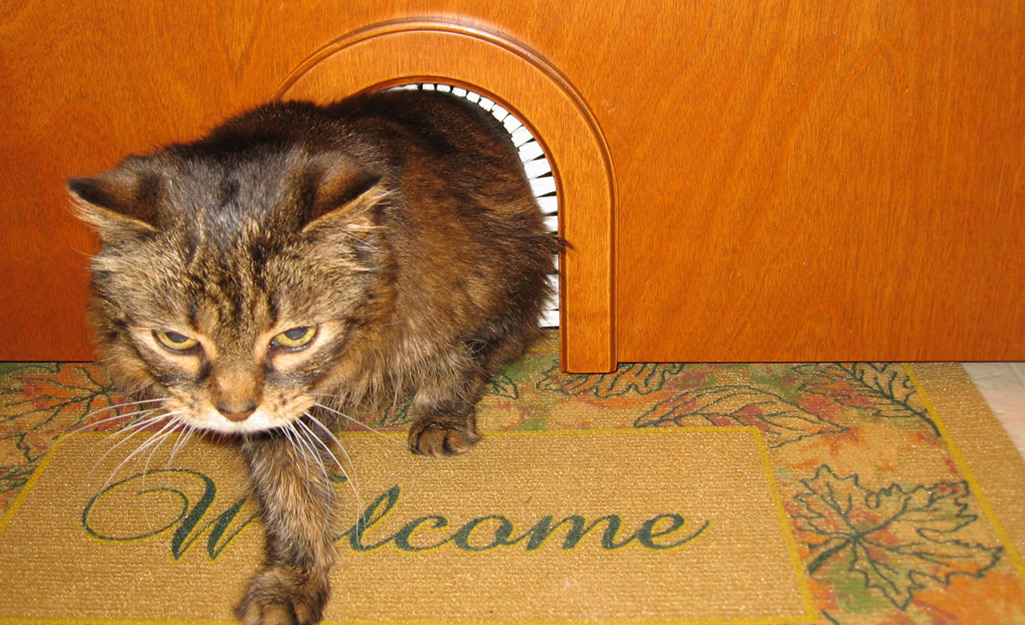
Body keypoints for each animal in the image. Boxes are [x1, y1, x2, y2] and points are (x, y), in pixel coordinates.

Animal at [70, 88, 561, 622]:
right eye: (176, 340)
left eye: (295, 336)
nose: (235, 411)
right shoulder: (275, 421)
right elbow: (289, 494)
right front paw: (294, 576)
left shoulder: (476, 286)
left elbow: (456, 360)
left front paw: (441, 415)